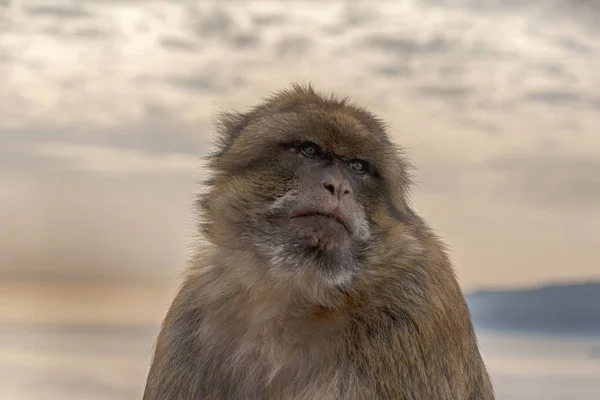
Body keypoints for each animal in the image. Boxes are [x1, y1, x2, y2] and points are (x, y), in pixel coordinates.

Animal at [143, 84, 494, 400]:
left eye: (357, 166)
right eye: (310, 150)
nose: (339, 187)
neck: (300, 290)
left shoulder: (418, 304)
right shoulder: (194, 308)